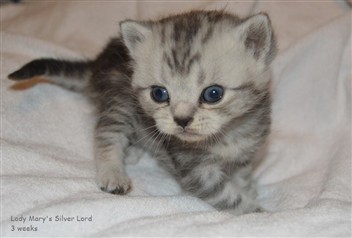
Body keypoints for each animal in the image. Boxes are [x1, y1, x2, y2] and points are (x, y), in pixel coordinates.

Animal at [8, 10, 276, 215]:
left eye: (213, 93)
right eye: (159, 94)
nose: (181, 120)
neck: (229, 132)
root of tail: (98, 64)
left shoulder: (245, 153)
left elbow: (242, 174)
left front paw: (249, 188)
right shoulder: (197, 171)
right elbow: (227, 196)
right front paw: (257, 212)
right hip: (119, 103)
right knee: (106, 134)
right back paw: (113, 172)